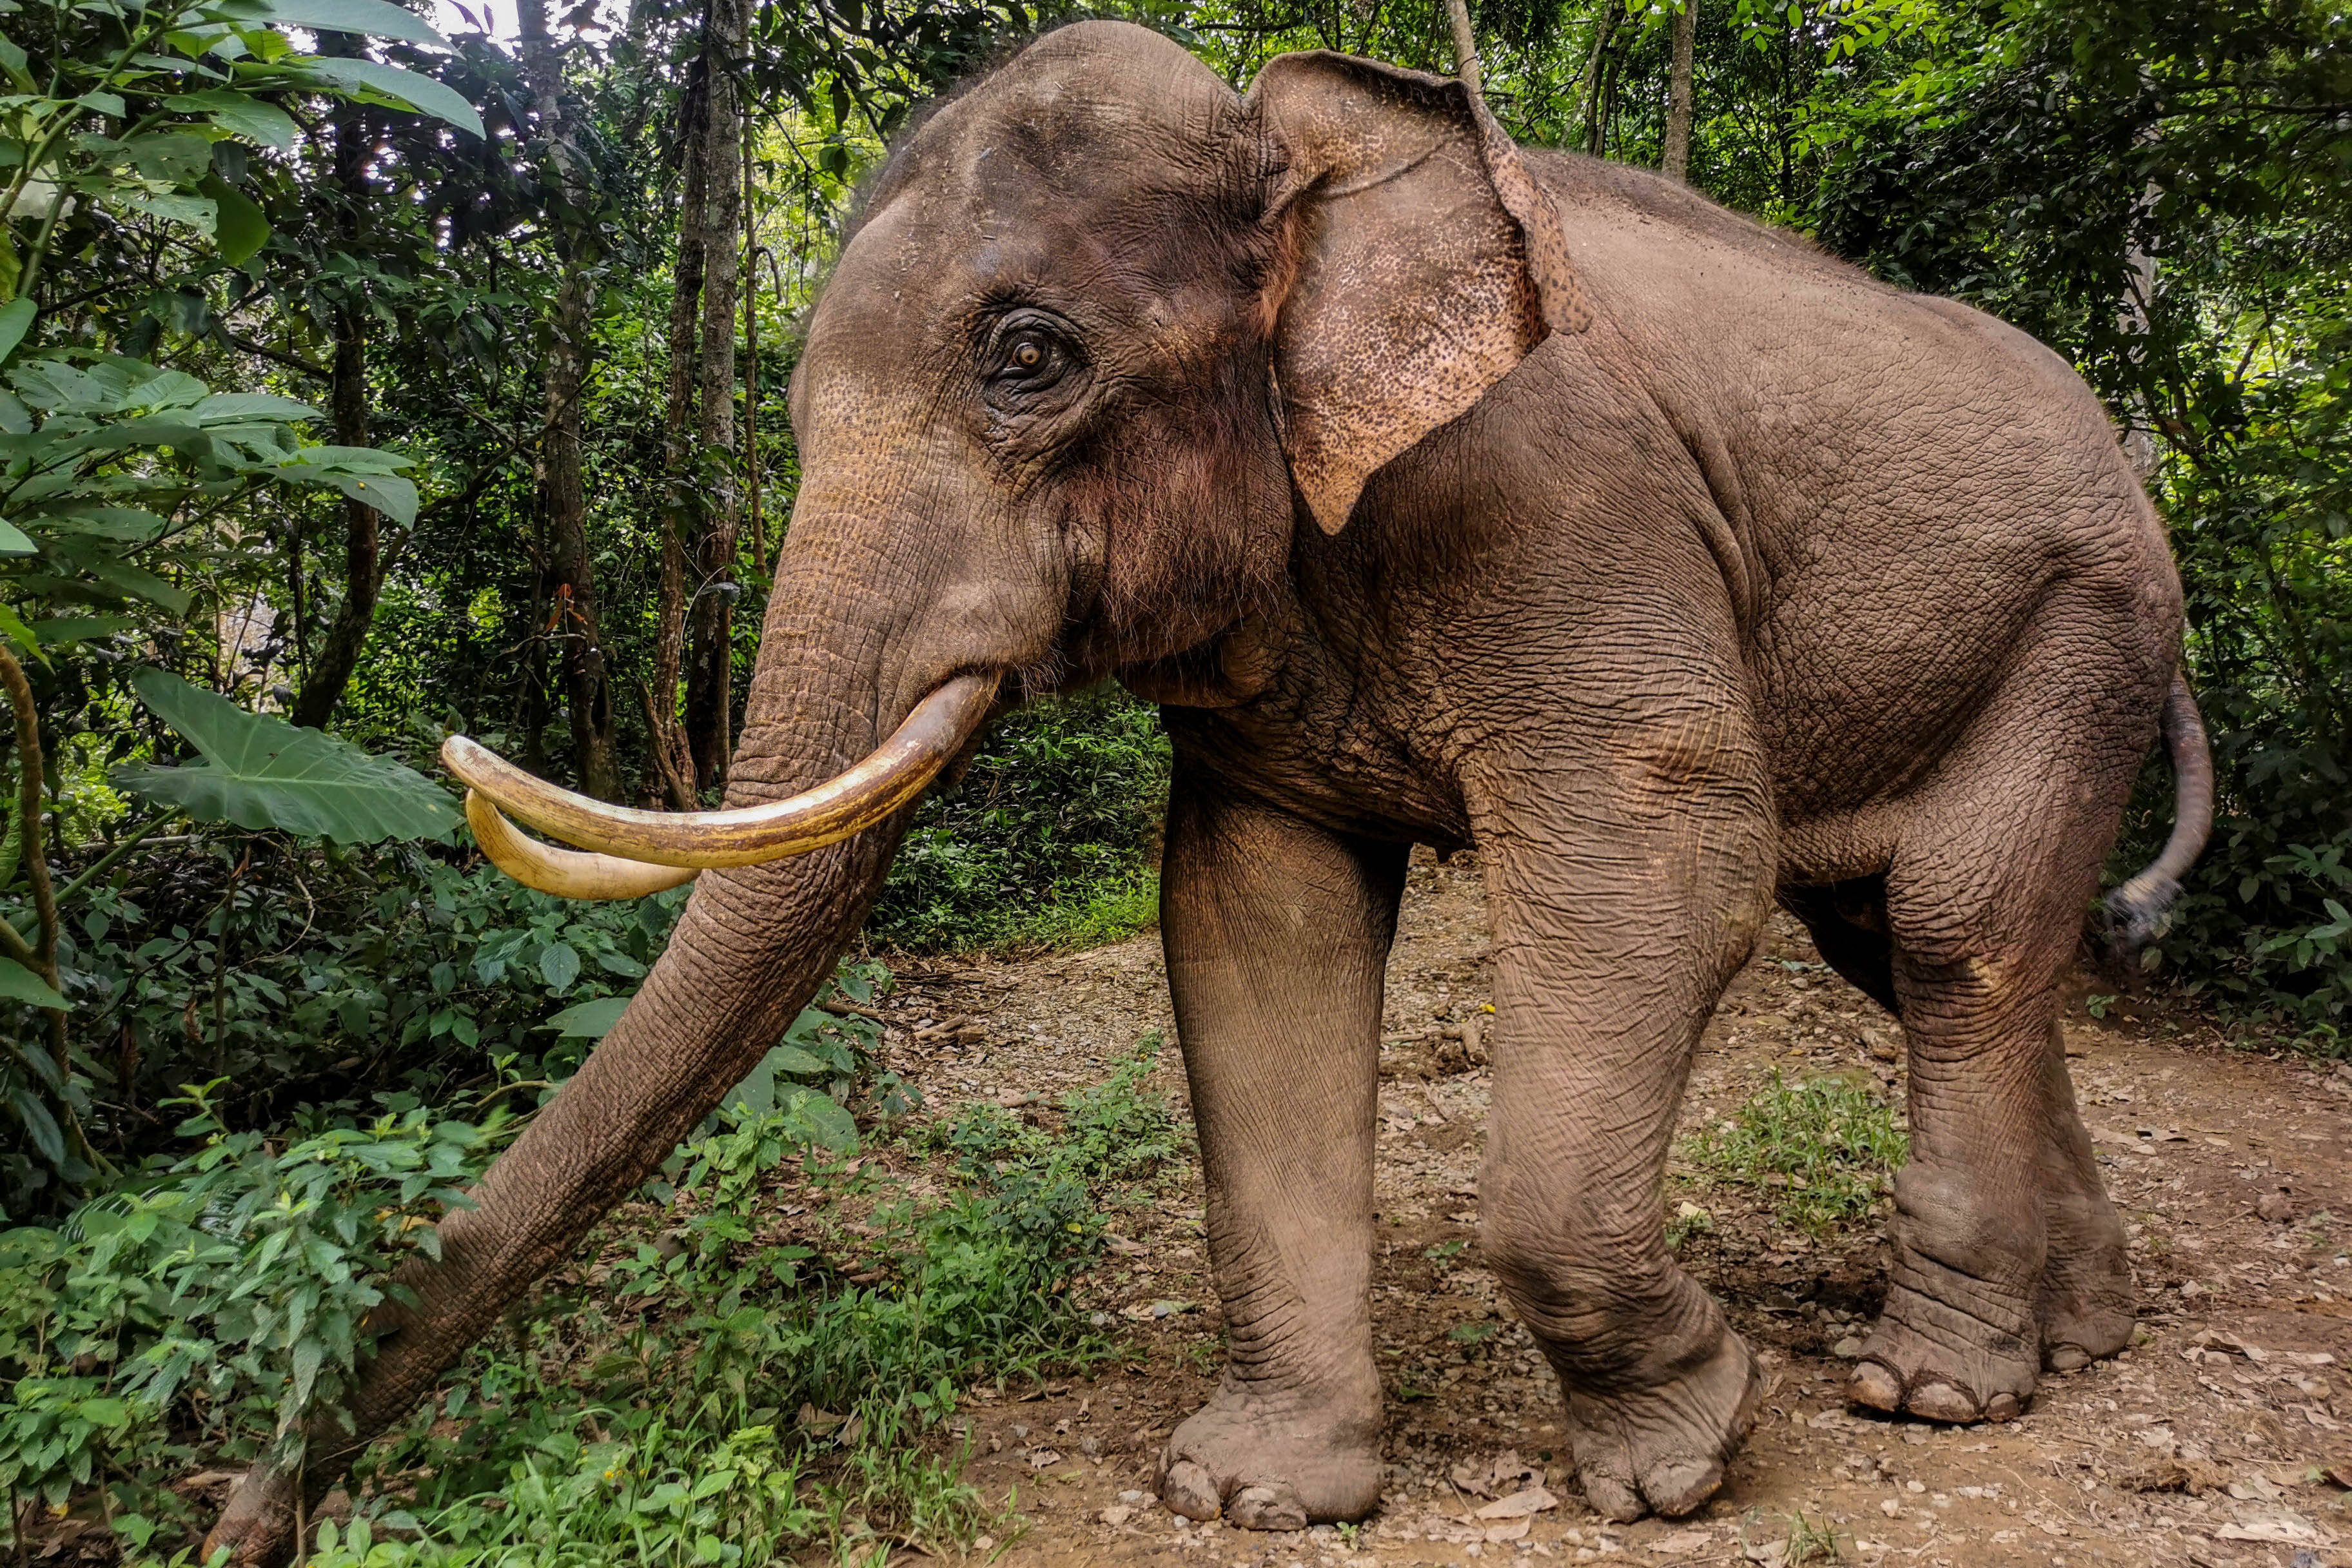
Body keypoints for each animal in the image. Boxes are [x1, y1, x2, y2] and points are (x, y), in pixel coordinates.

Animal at [202, 15, 2201, 1561]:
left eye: (1028, 357)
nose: (245, 1522)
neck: (1310, 147)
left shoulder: (1568, 503)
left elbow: (1669, 861)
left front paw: (1682, 1463)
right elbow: (1257, 925)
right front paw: (1252, 1496)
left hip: (2088, 620)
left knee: (1947, 928)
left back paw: (1934, 1386)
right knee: (1921, 937)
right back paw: (2081, 1340)